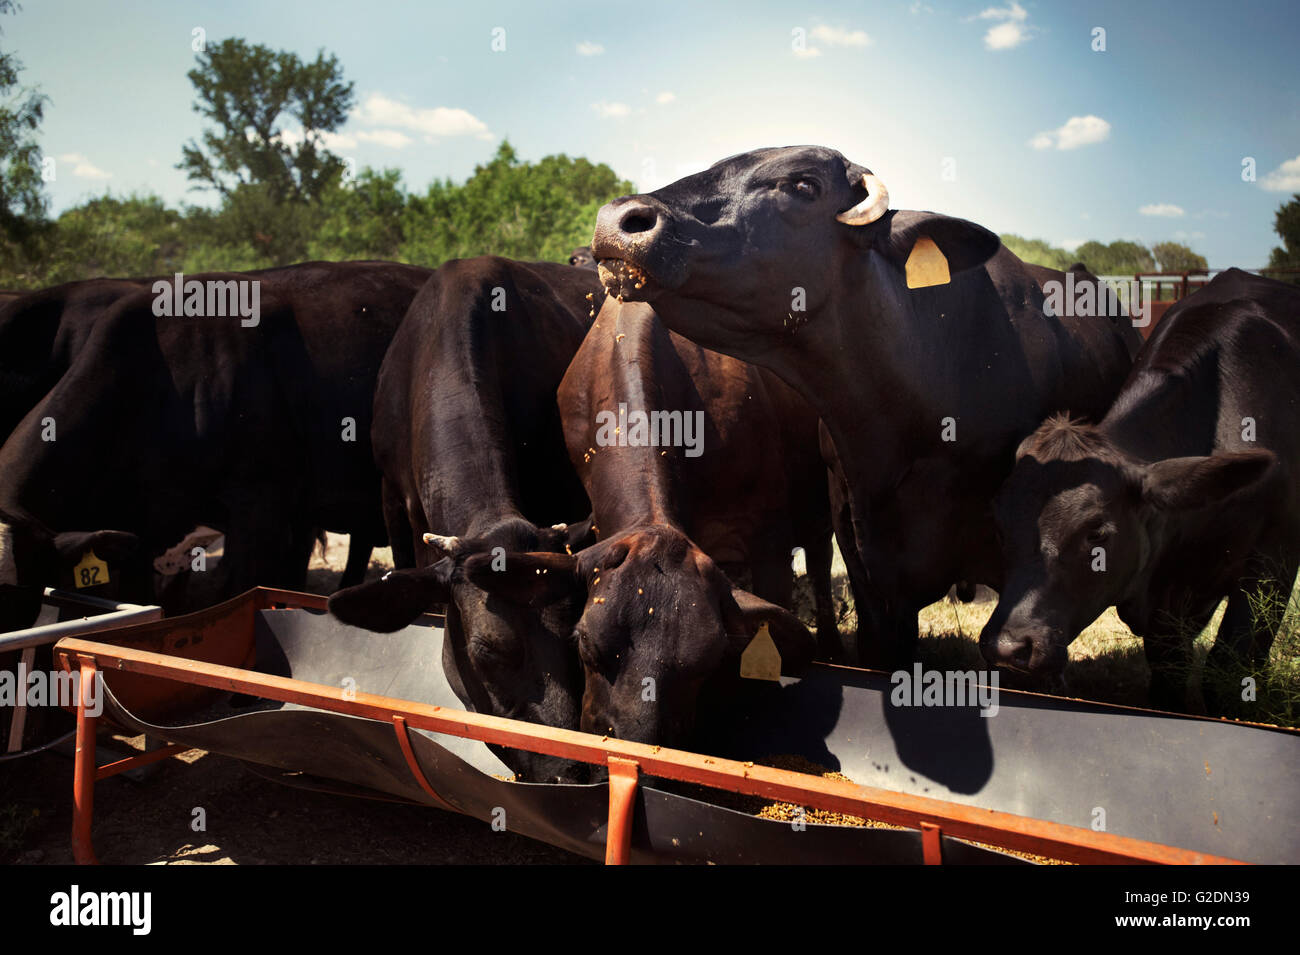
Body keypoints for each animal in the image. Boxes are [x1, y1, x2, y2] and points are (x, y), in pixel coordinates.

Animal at [979, 269, 1300, 710]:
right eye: (999, 527)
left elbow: (1228, 671)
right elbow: (1170, 675)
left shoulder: (1274, 560)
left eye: (1098, 533)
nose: (1008, 647)